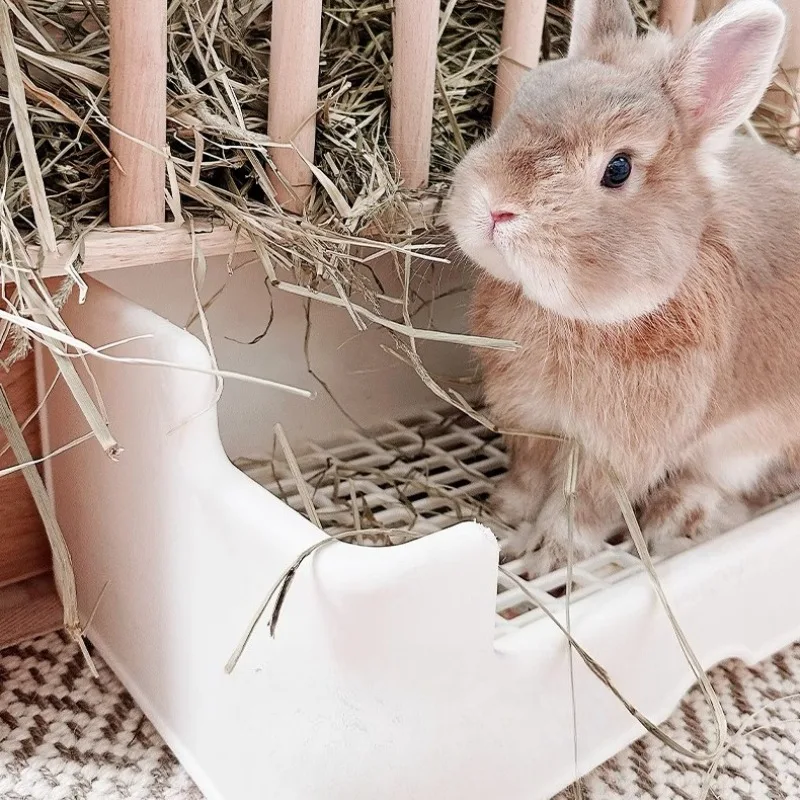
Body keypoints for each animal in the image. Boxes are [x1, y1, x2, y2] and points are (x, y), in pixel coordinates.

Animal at [447, 0, 800, 576]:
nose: (496, 208)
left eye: (618, 168)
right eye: (516, 109)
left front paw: (549, 555)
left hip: (749, 447)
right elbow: (526, 476)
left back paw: (675, 515)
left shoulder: (618, 452)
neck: (578, 316)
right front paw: (502, 514)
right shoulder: (530, 421)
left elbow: (583, 508)